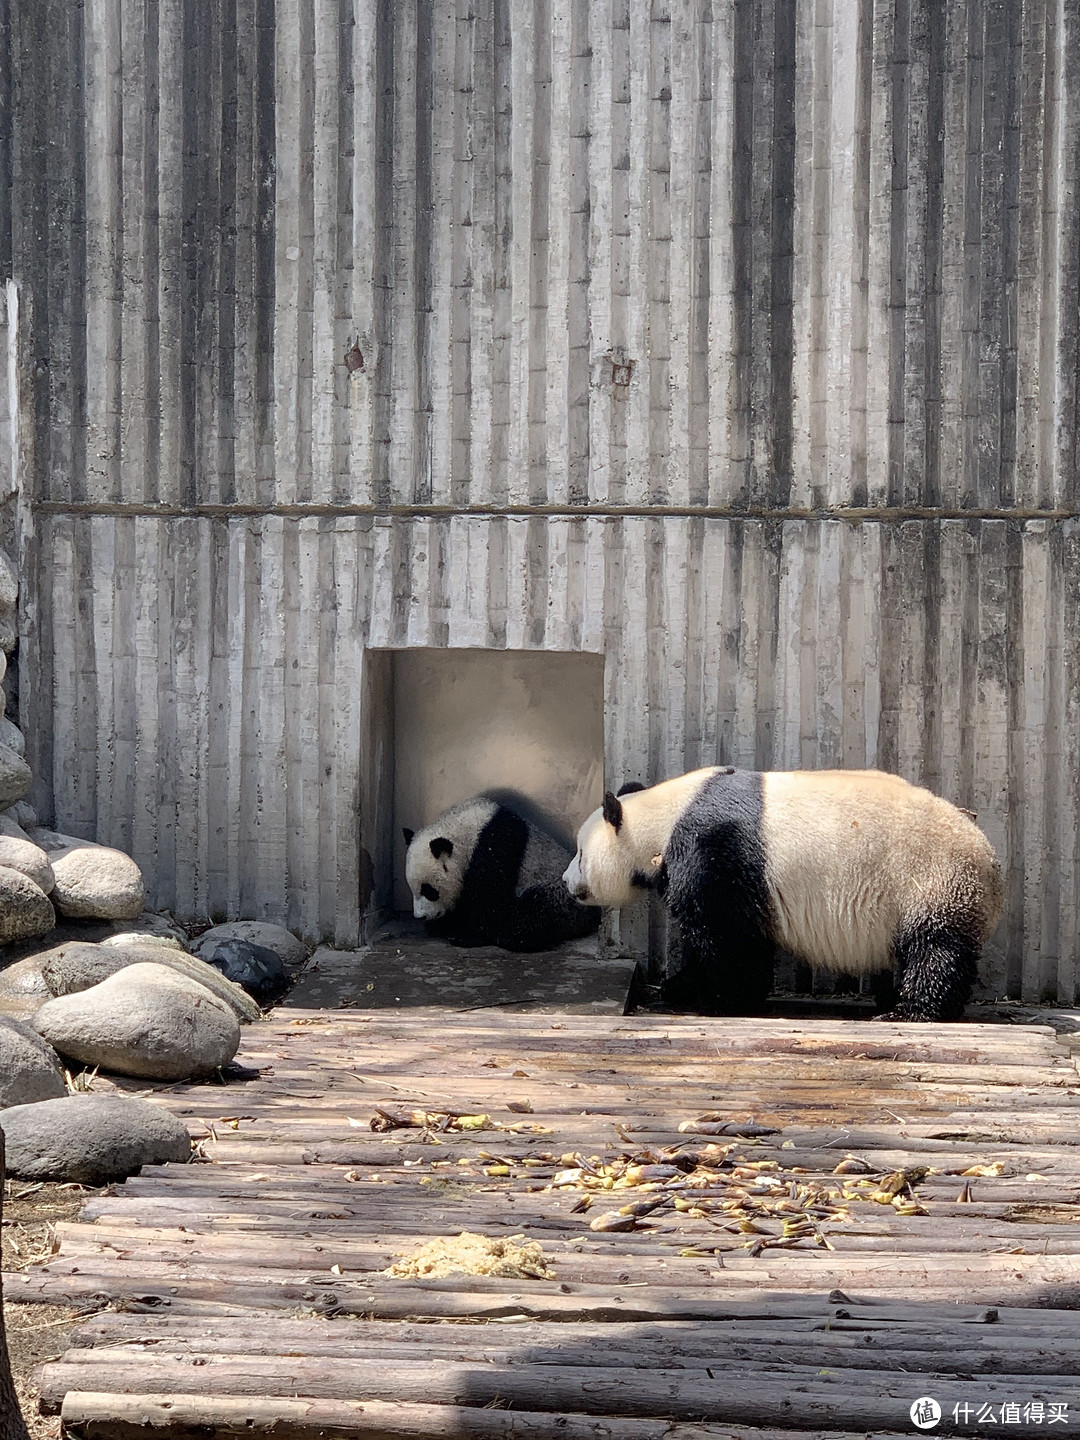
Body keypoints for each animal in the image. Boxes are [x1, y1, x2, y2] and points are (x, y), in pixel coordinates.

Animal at [403, 794, 604, 950]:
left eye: (429, 890)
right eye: (412, 889)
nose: (421, 916)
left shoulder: (496, 846)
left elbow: (488, 897)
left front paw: (467, 935)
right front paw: (444, 924)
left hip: (563, 894)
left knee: (539, 907)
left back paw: (515, 937)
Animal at [567, 766, 1008, 1025]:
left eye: (581, 852)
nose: (566, 883)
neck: (665, 816)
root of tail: (989, 859)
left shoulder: (715, 848)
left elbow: (727, 935)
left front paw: (719, 998)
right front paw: (681, 986)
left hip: (930, 881)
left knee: (934, 950)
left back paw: (910, 1011)